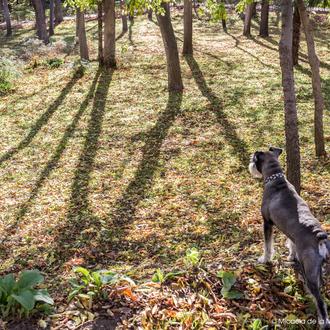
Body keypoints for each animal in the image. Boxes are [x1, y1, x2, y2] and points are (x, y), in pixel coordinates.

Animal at [250, 148, 330, 330]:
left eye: (255, 158)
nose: (250, 162)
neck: (276, 178)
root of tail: (319, 238)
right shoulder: (290, 233)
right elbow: (291, 244)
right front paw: (291, 256)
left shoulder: (267, 223)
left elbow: (268, 245)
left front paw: (264, 259)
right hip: (319, 269)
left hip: (310, 272)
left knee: (321, 301)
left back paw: (323, 321)